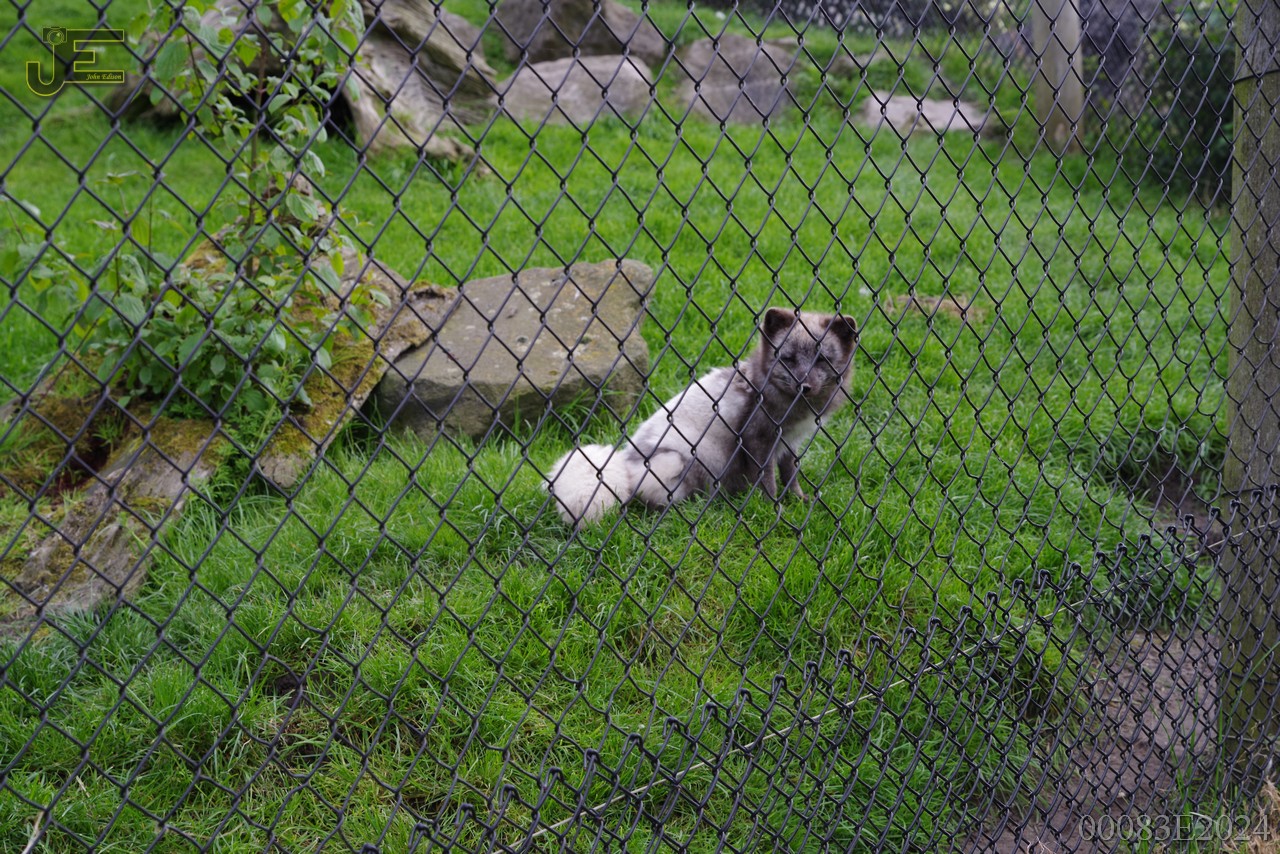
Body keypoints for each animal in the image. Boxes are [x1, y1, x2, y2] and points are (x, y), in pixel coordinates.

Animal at [547, 307, 857, 525]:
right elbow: (767, 479)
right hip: (683, 460)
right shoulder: (757, 440)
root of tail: (626, 463)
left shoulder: (790, 442)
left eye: (822, 360)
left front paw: (799, 499)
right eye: (788, 359)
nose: (803, 385)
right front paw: (773, 507)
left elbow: (791, 473)